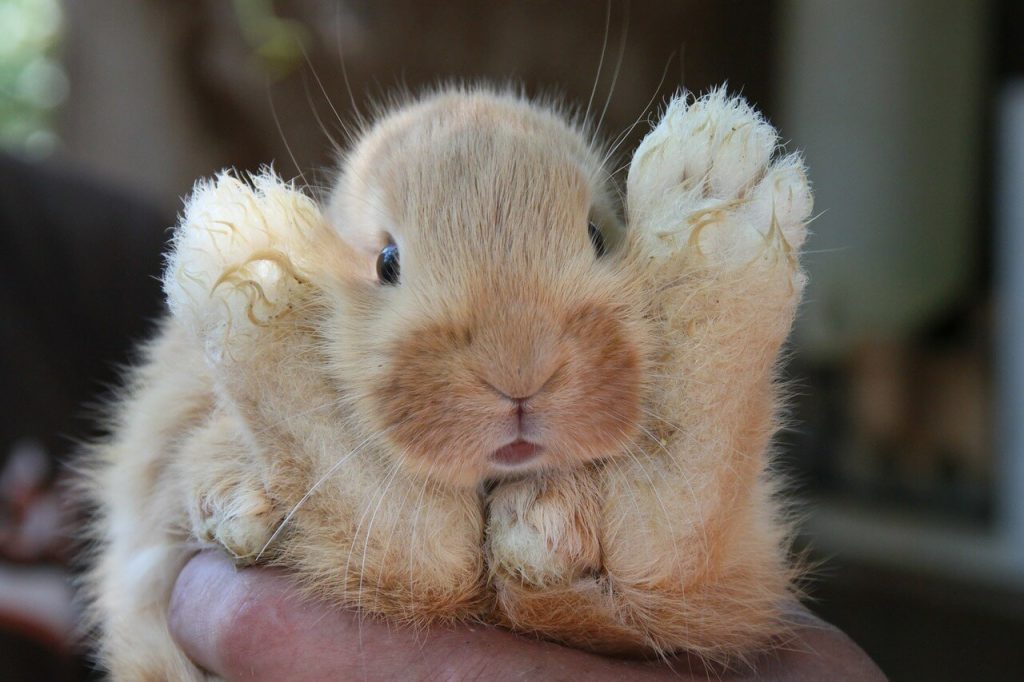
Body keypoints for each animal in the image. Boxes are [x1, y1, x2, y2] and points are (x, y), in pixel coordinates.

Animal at [79, 83, 811, 675]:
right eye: (387, 261)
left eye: (599, 237)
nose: (519, 371)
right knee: (426, 552)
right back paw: (244, 246)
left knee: (666, 544)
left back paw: (716, 185)